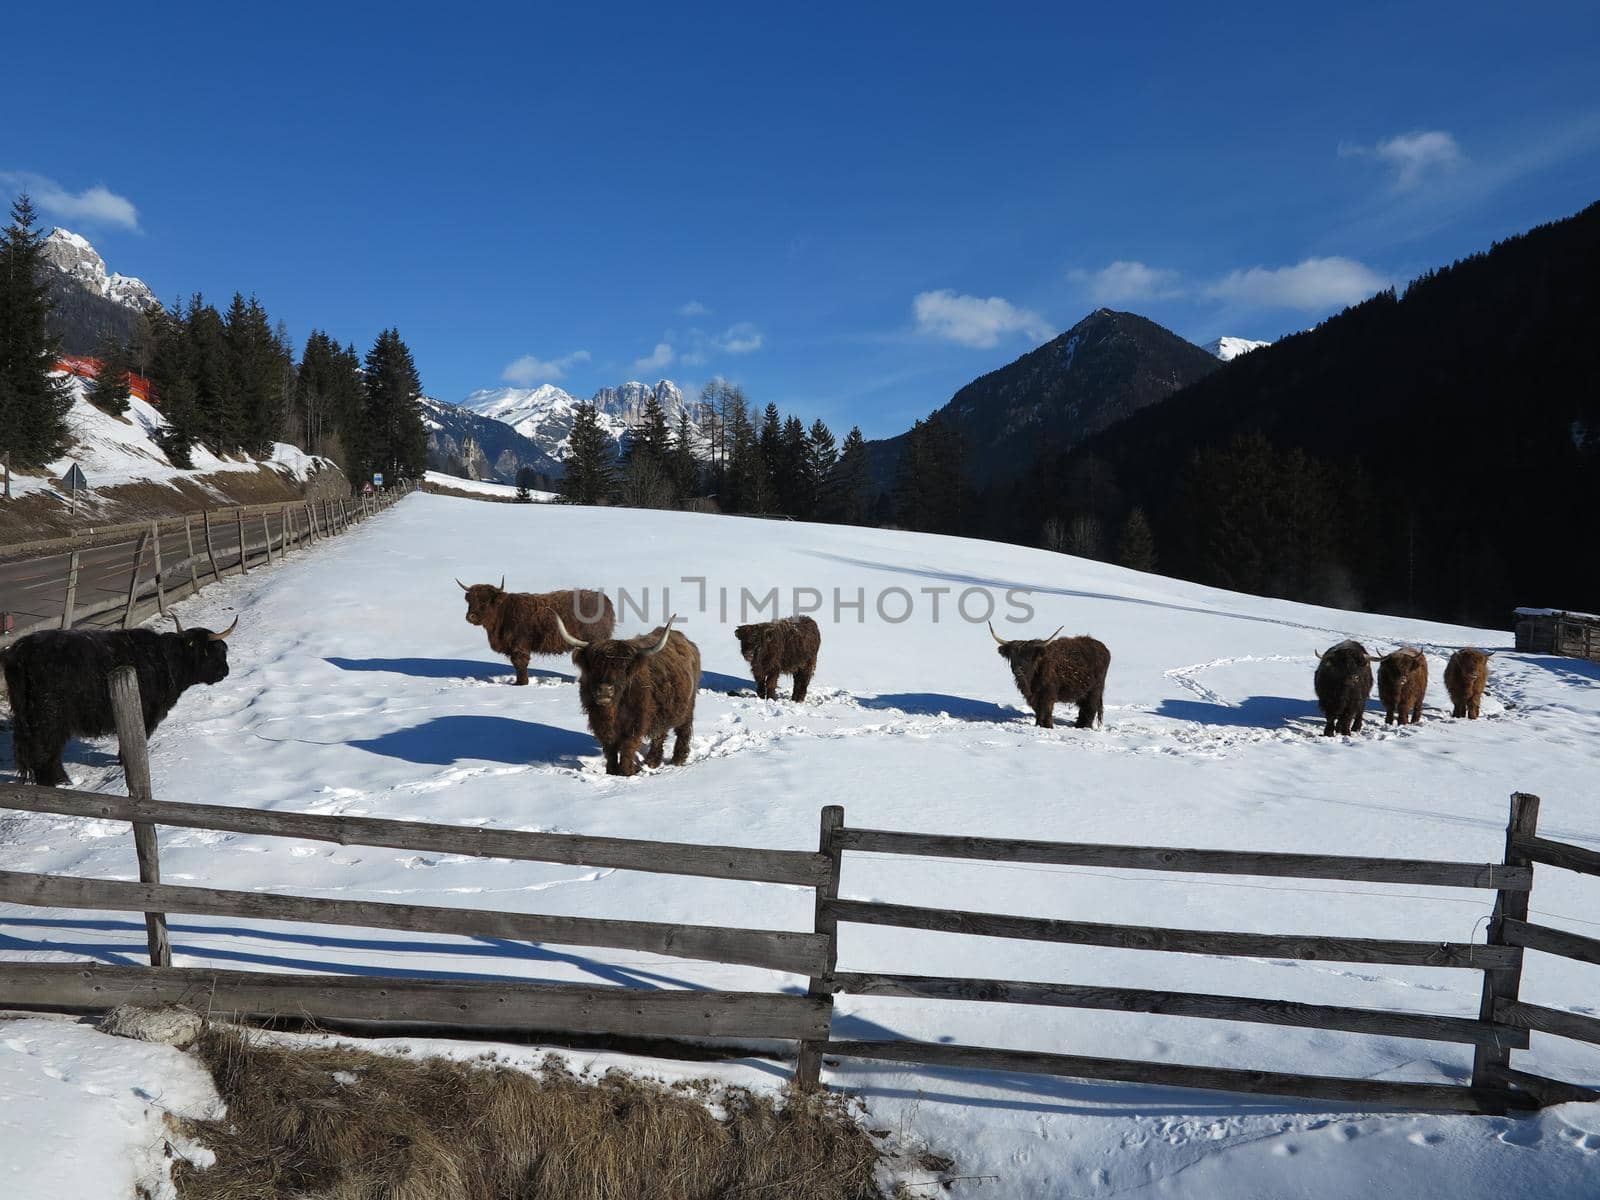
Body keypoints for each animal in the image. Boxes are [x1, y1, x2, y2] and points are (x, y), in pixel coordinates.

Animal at [1, 620, 236, 790]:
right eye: (216, 651)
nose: (226, 671)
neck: (167, 661)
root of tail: (19, 652)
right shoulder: (146, 714)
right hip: (50, 716)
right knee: (44, 751)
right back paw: (58, 782)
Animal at [464, 579, 617, 684]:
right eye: (469, 601)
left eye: (484, 601)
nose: (470, 616)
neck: (503, 612)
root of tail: (606, 601)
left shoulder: (519, 646)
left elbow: (520, 664)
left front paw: (520, 684)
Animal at [556, 614, 700, 774]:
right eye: (596, 664)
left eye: (623, 668)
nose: (605, 689)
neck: (613, 710)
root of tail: (686, 641)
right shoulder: (600, 723)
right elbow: (610, 750)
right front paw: (612, 771)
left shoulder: (635, 724)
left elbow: (627, 748)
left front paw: (626, 773)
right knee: (659, 734)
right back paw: (652, 762)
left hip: (687, 707)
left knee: (682, 730)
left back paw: (678, 760)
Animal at [985, 624, 1113, 729]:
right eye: (1013, 656)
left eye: (1028, 657)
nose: (1017, 670)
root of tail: (1103, 648)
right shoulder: (1034, 696)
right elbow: (1038, 710)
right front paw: (1038, 725)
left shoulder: (1048, 694)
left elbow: (1046, 709)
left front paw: (1048, 726)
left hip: (1095, 689)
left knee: (1090, 708)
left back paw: (1083, 726)